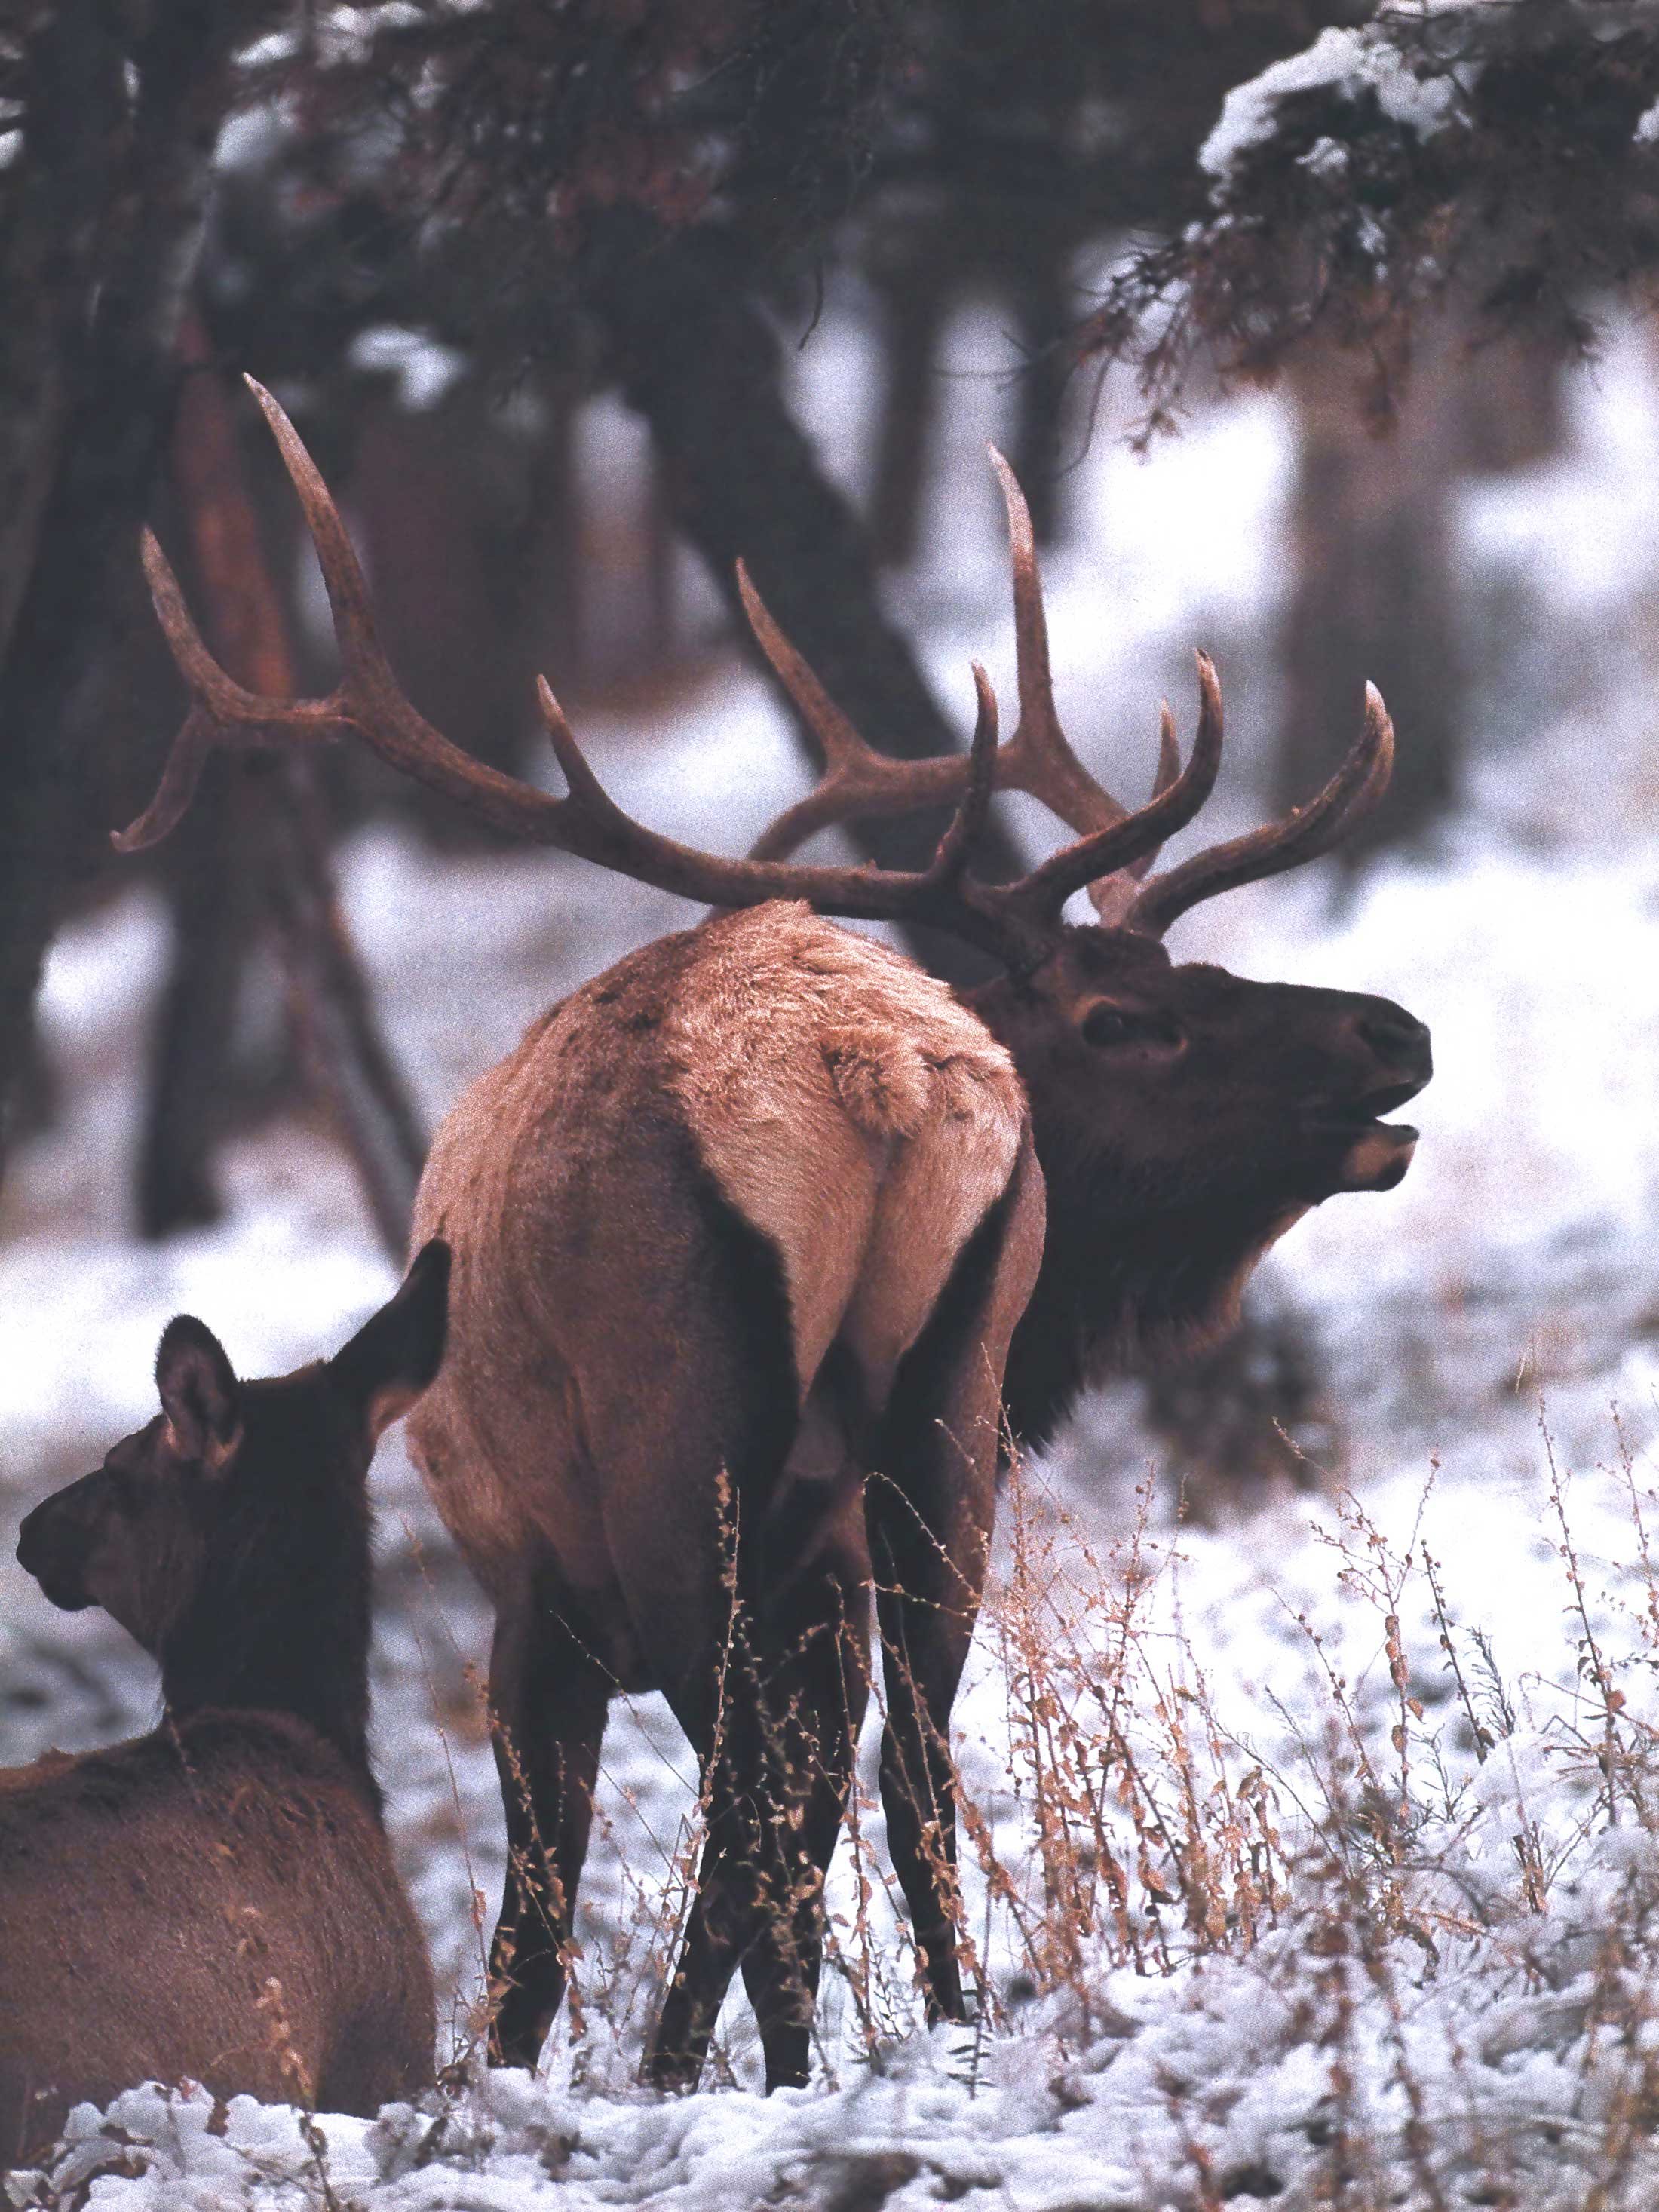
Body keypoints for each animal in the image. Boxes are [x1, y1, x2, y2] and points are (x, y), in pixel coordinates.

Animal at [120, 378, 1431, 2099]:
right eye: (1125, 1010)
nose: (1392, 1031)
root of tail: (870, 1066)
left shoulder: (537, 1583)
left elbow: (546, 1905)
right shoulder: (834, 1546)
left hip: (685, 1456)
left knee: (746, 1785)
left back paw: (722, 2068)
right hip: (941, 1425)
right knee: (909, 1757)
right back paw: (945, 2029)